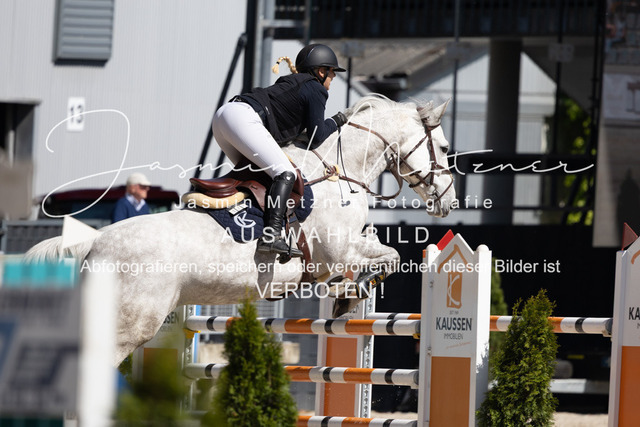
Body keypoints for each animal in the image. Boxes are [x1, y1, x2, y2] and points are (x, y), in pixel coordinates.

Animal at [25, 95, 456, 365]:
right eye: (445, 148)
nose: (449, 201)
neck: (341, 171)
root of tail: (94, 242)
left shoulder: (328, 264)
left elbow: (366, 264)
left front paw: (346, 295)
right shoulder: (340, 252)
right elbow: (391, 256)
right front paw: (356, 292)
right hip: (126, 329)